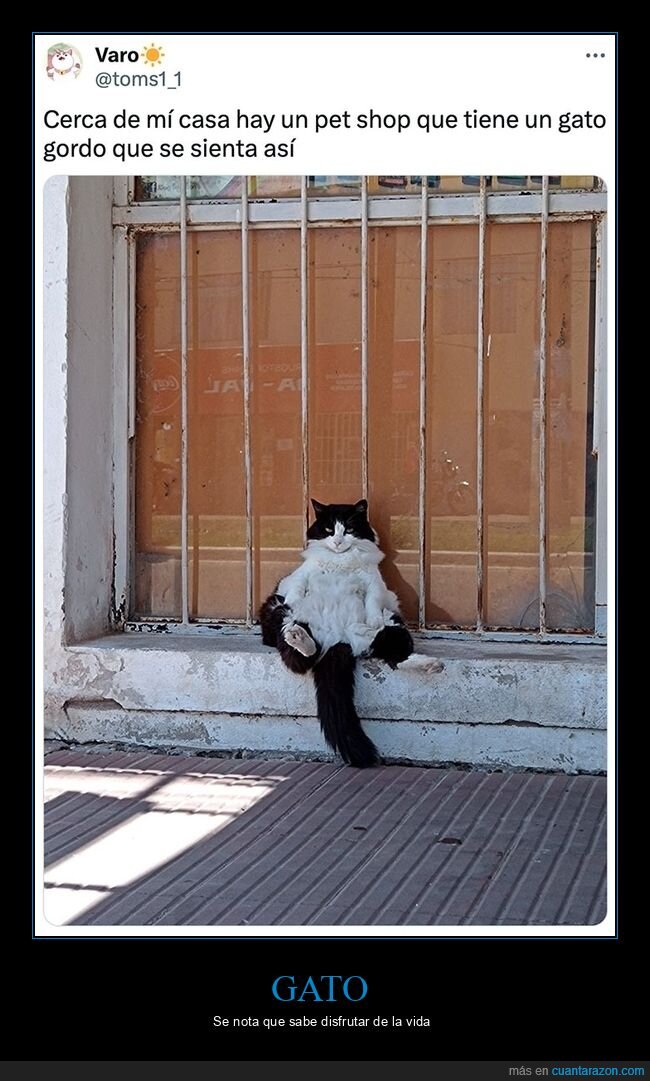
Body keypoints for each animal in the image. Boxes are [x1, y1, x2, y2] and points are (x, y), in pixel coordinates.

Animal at [259, 498, 443, 768]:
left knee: (395, 656)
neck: (340, 561)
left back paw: (431, 664)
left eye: (348, 529)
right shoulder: (300, 576)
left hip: (395, 625)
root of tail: (337, 640)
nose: (337, 541)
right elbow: (295, 590)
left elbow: (372, 602)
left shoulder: (375, 584)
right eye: (328, 530)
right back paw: (298, 636)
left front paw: (372, 619)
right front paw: (293, 603)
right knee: (300, 656)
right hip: (277, 615)